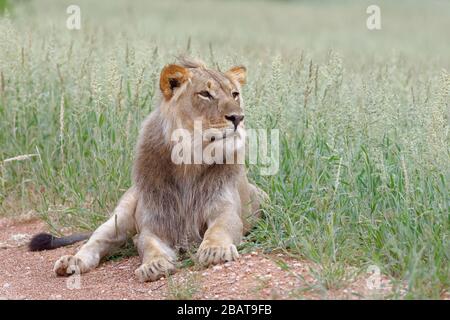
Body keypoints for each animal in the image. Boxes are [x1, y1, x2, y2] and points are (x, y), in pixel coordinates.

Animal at [28, 57, 266, 282]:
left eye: (235, 94)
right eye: (205, 94)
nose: (238, 118)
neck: (189, 161)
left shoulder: (224, 208)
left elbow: (219, 229)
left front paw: (215, 250)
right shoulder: (154, 221)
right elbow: (149, 244)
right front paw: (154, 265)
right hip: (120, 215)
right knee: (97, 240)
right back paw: (72, 262)